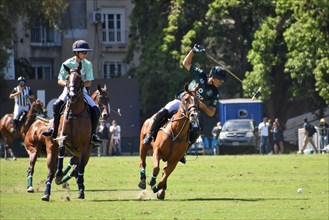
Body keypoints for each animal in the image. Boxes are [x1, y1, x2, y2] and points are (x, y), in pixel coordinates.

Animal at [41, 62, 92, 201]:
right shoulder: (62, 137)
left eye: (80, 79)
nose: (72, 96)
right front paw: (59, 174)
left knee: (79, 167)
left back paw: (80, 187)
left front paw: (81, 190)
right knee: (50, 170)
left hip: (83, 152)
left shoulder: (84, 146)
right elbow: (62, 149)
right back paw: (46, 193)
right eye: (67, 78)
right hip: (52, 149)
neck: (75, 113)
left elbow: (80, 168)